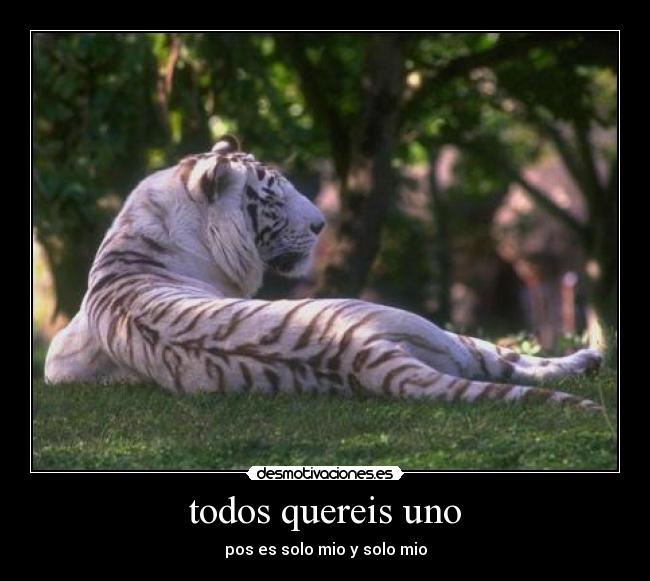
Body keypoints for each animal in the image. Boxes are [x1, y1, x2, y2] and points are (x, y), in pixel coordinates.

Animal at [44, 136, 604, 410]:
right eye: (272, 195)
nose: (321, 223)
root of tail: (356, 353)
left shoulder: (58, 357)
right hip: (425, 328)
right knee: (503, 359)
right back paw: (589, 358)